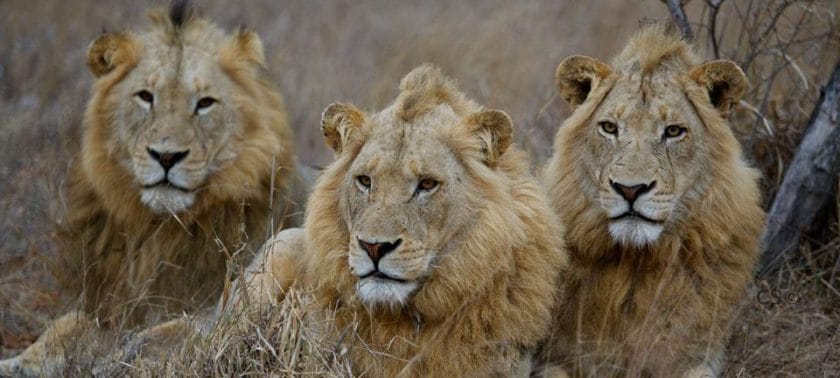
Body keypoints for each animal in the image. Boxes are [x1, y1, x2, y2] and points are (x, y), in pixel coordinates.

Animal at [540, 25, 768, 376]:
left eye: (673, 131)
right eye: (609, 127)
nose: (630, 189)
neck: (637, 264)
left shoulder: (701, 354)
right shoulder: (555, 356)